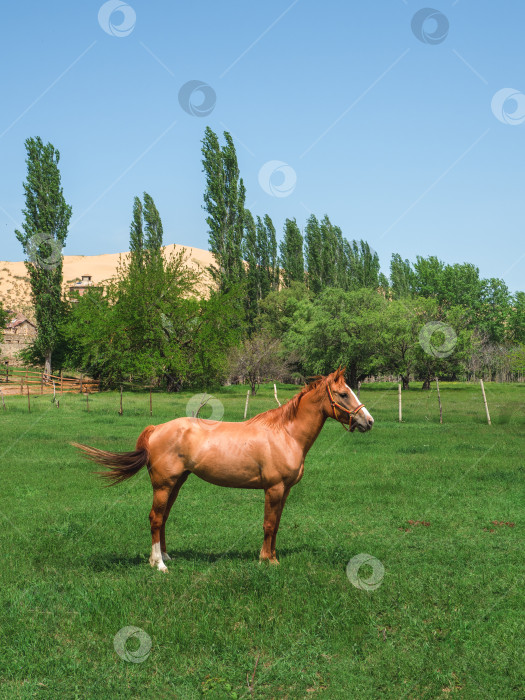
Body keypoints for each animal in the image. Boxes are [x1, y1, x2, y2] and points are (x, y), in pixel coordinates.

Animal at [75, 370, 374, 572]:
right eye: (344, 394)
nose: (368, 421)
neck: (285, 433)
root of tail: (156, 428)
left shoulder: (285, 490)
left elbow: (276, 524)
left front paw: (273, 557)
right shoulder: (274, 488)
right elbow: (268, 524)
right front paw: (266, 560)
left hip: (176, 483)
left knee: (164, 518)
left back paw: (166, 556)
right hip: (163, 484)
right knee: (155, 519)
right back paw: (158, 564)